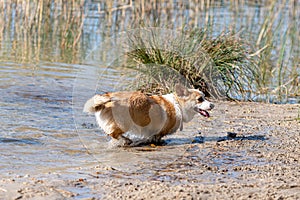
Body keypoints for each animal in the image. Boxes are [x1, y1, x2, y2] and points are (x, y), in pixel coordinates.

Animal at [83, 85, 214, 147]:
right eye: (200, 99)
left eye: (204, 97)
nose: (213, 105)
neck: (178, 104)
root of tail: (108, 97)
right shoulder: (158, 133)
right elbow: (156, 138)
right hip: (124, 123)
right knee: (114, 134)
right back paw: (126, 140)